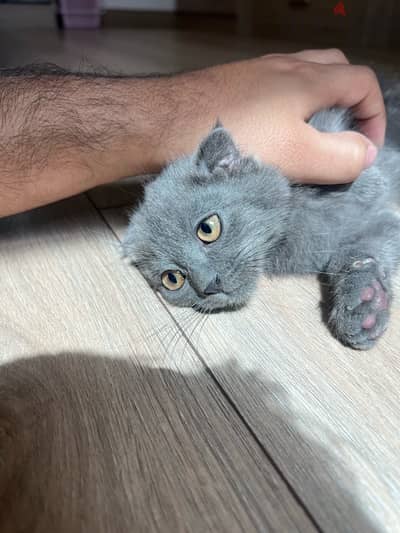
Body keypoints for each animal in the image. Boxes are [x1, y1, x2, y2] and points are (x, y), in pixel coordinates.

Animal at [122, 81, 400, 348]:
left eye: (207, 229)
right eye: (172, 279)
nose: (209, 285)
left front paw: (368, 180)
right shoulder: (379, 227)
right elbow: (363, 250)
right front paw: (366, 304)